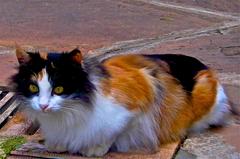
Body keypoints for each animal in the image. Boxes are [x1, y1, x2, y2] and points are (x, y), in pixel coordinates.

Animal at [12, 45, 230, 157]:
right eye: (33, 88)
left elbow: (114, 131)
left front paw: (95, 149)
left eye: (58, 89)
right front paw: (56, 145)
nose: (43, 106)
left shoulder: (142, 97)